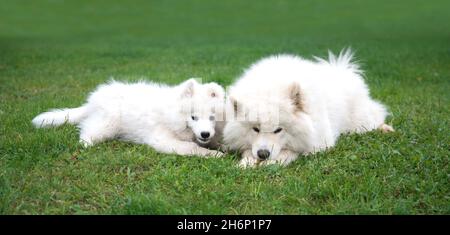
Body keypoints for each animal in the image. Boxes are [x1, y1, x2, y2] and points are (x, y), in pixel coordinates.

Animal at [32, 79, 225, 158]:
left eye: (212, 117)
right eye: (193, 117)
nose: (205, 134)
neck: (172, 114)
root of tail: (91, 102)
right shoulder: (161, 139)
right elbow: (190, 147)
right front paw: (213, 154)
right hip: (107, 124)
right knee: (87, 132)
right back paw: (86, 145)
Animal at [224, 49, 394, 167]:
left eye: (278, 130)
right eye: (255, 129)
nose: (263, 154)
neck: (269, 87)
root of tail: (343, 70)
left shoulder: (318, 141)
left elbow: (290, 151)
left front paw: (270, 162)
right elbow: (247, 149)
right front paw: (247, 162)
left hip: (360, 123)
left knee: (376, 117)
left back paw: (385, 128)